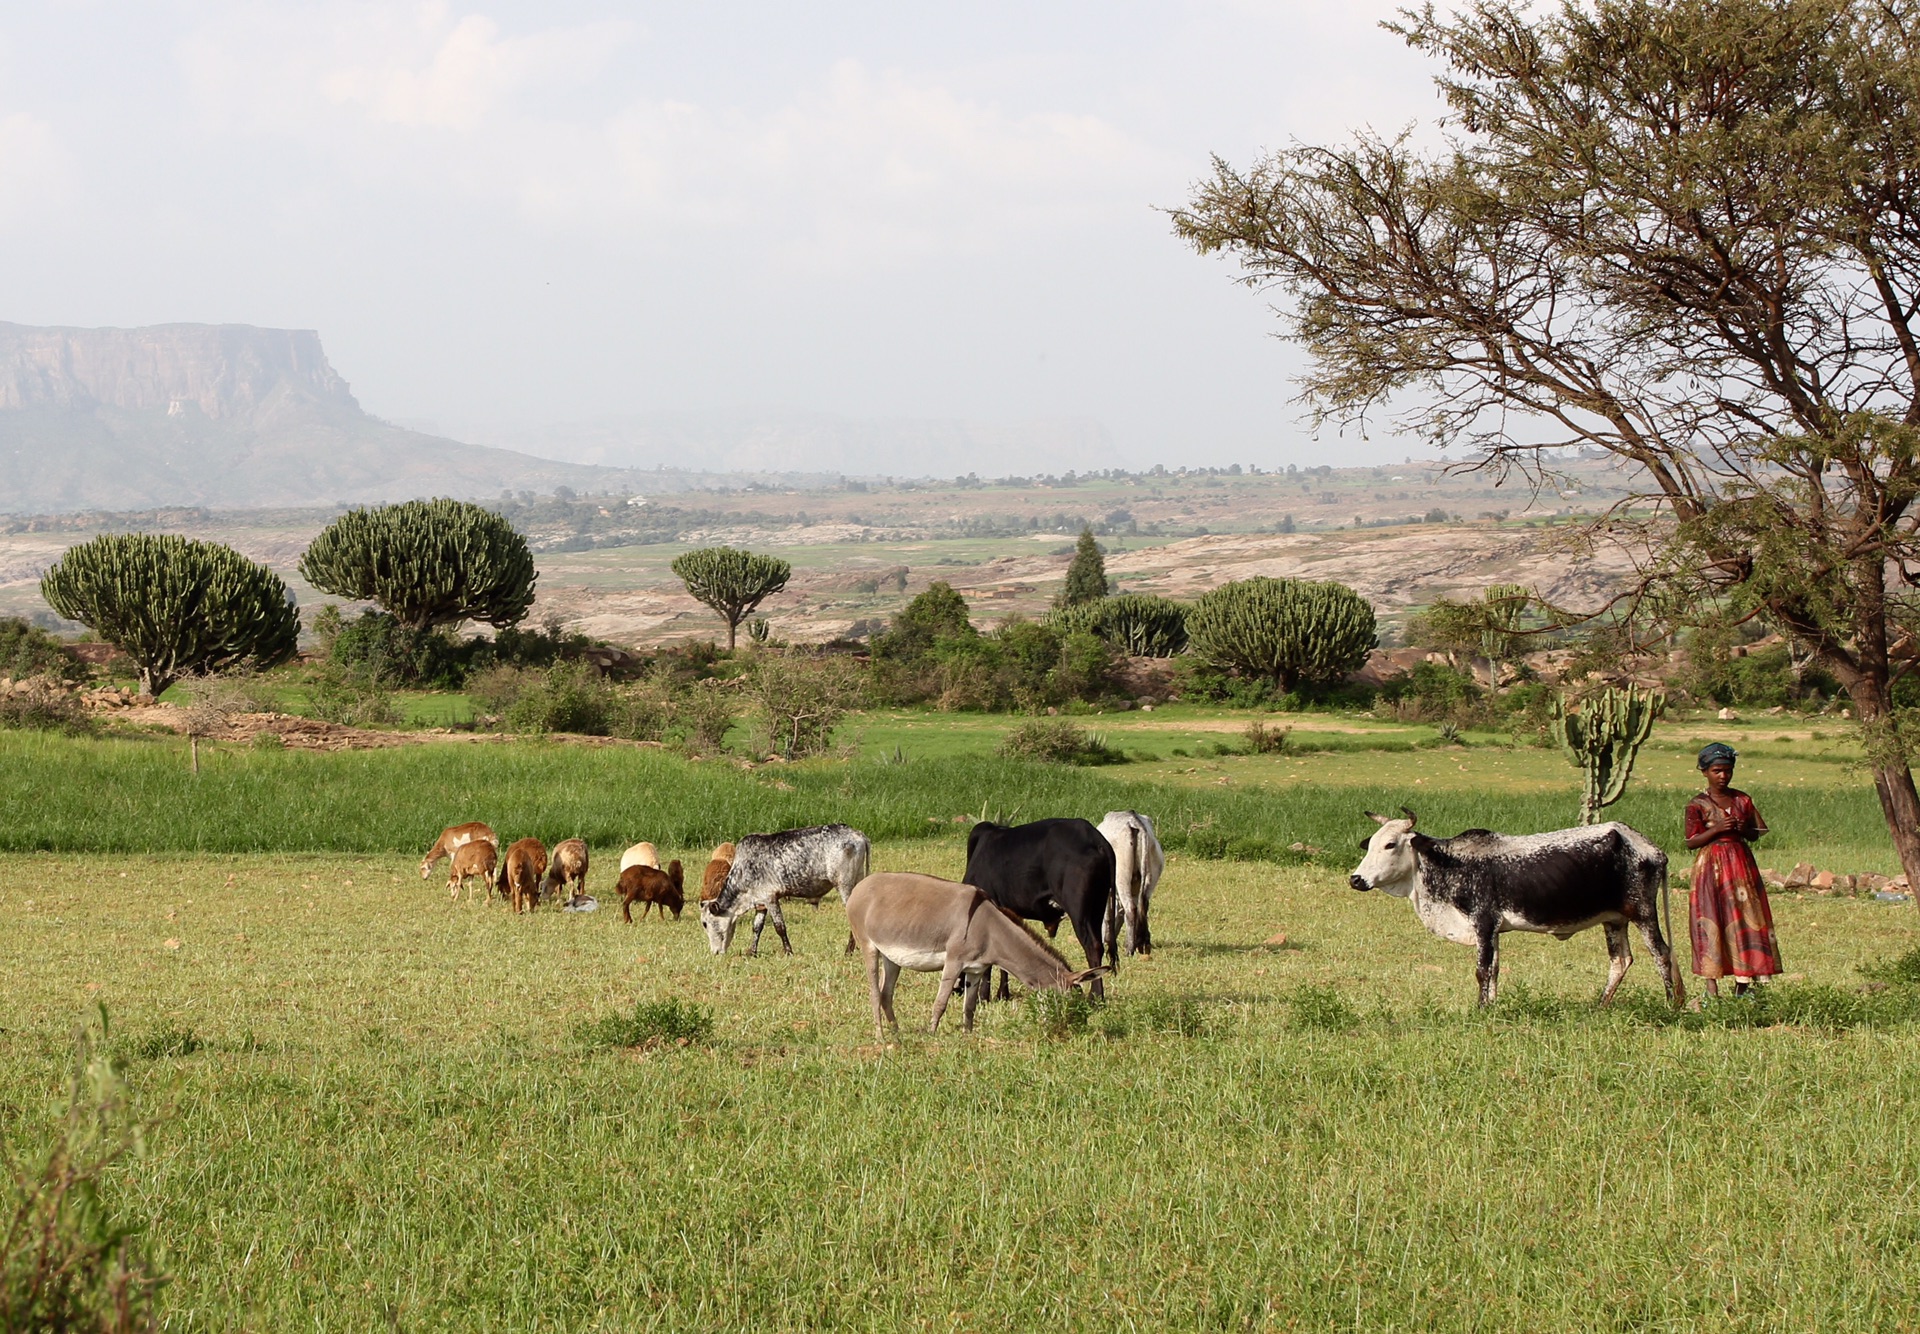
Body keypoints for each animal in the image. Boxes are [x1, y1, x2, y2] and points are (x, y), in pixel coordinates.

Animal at [702, 825, 875, 959]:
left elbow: (780, 927)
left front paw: (788, 952)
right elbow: (757, 927)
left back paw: (848, 951)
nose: (715, 952)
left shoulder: (770, 898)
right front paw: (752, 952)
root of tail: (857, 834)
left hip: (844, 885)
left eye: (705, 924)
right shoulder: (761, 902)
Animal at [844, 871, 1113, 1036]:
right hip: (868, 947)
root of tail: (860, 886)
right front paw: (932, 1035)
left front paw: (967, 1036)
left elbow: (970, 1007)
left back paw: (897, 1034)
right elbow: (940, 1003)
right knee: (874, 993)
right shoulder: (953, 962)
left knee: (886, 994)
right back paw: (881, 1037)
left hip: (892, 957)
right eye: (1068, 1002)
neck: (989, 929)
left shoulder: (975, 969)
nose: (1071, 1030)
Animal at [967, 813, 1121, 998]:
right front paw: (1002, 993)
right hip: (1097, 908)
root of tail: (1095, 838)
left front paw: (984, 996)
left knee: (1092, 947)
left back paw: (1095, 996)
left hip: (1079, 912)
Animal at [1105, 809, 1159, 955]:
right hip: (1149, 878)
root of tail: (1133, 820)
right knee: (1143, 905)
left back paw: (1129, 949)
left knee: (1130, 909)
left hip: (1121, 876)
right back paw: (1143, 944)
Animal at [1351, 809, 1681, 1005]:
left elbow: (1482, 971)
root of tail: (1649, 847)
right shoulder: (1494, 931)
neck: (1448, 862)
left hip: (1642, 913)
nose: (1356, 879)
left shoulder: (1483, 923)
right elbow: (1495, 970)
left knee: (1662, 954)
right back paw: (1600, 1005)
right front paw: (1492, 1007)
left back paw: (1672, 1005)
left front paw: (1481, 1009)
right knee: (1621, 961)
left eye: (1390, 844)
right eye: (1371, 845)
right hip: (1614, 920)